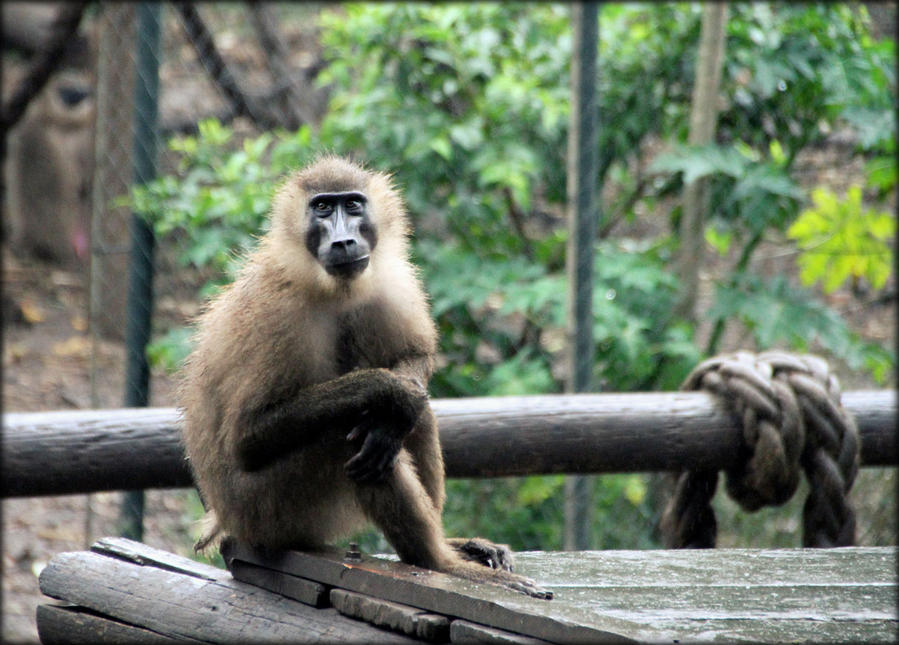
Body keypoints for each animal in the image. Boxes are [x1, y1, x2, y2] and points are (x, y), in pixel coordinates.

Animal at [179, 156, 552, 600]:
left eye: (353, 205)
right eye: (323, 208)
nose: (344, 241)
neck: (324, 284)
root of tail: (226, 521)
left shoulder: (387, 281)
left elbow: (413, 360)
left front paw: (396, 408)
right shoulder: (275, 314)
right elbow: (247, 438)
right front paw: (387, 390)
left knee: (408, 419)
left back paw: (445, 545)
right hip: (270, 514)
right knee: (345, 435)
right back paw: (440, 563)